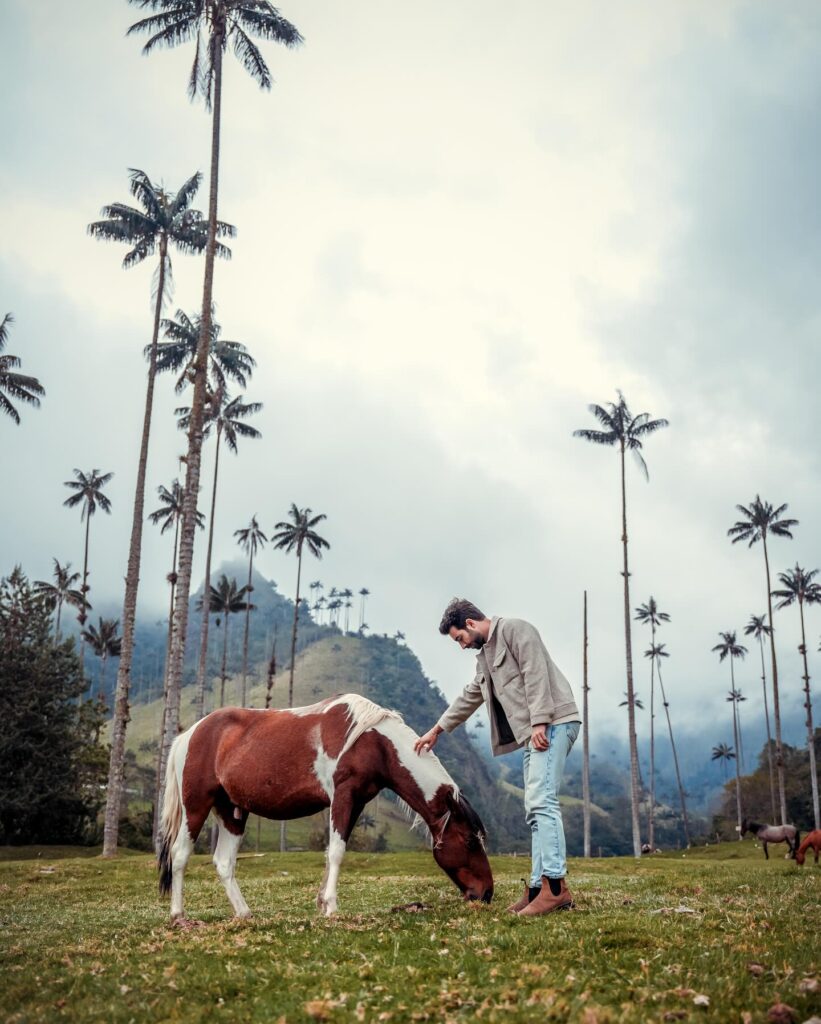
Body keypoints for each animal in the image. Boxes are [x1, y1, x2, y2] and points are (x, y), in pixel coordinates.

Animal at [157, 696, 493, 921]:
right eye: (469, 841)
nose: (486, 893)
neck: (373, 741)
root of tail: (189, 734)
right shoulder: (343, 796)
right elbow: (337, 852)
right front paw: (331, 906)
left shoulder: (356, 802)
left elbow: (333, 849)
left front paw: (321, 902)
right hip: (196, 806)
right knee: (180, 854)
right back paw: (178, 914)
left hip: (232, 812)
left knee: (224, 862)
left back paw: (244, 913)